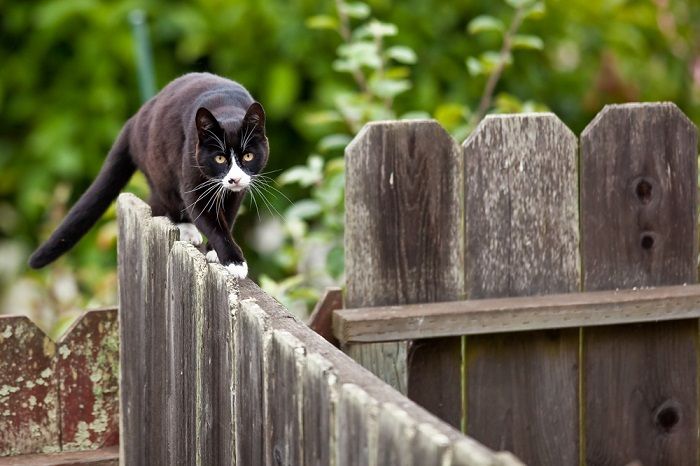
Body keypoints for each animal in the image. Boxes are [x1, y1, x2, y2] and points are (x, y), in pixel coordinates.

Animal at [28, 72, 268, 276]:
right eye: (219, 159)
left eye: (248, 156)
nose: (234, 178)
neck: (226, 108)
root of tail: (134, 119)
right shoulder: (192, 175)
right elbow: (208, 218)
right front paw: (234, 261)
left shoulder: (237, 192)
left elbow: (228, 215)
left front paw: (214, 252)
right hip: (160, 168)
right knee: (163, 201)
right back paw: (186, 228)